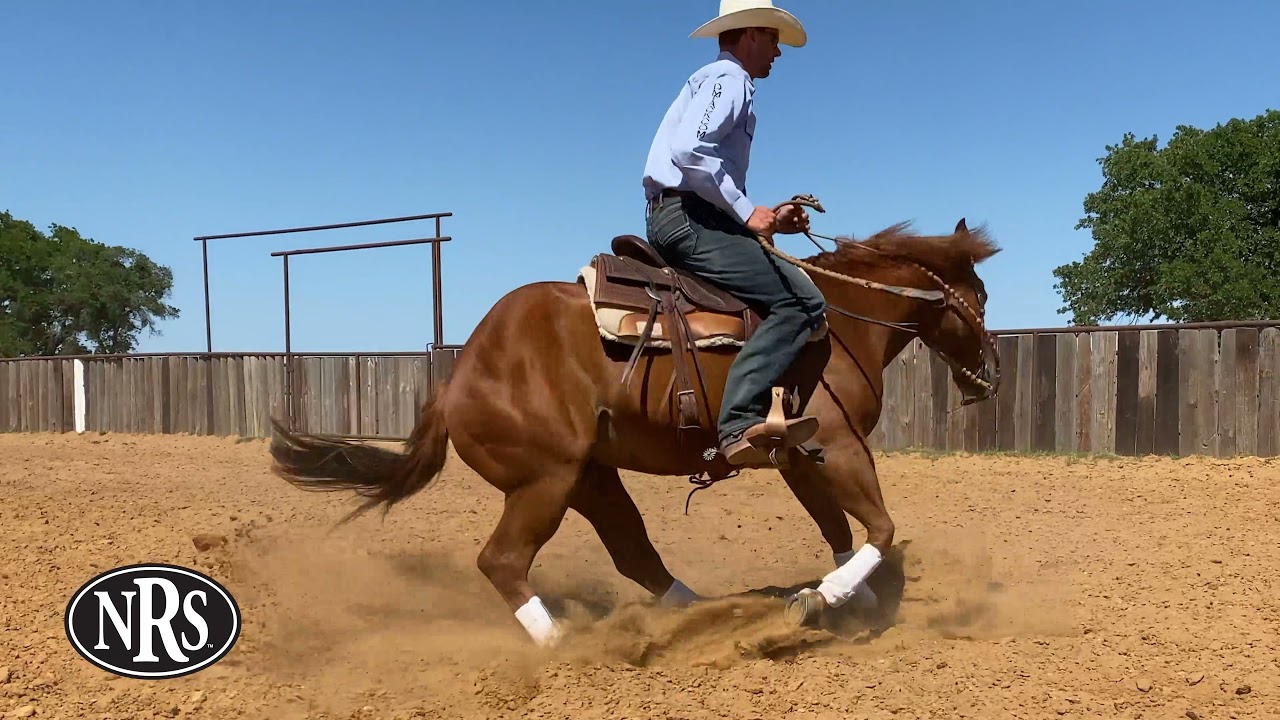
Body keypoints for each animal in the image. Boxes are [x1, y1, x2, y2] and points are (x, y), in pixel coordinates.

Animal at [267, 196, 1001, 646]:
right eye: (983, 297)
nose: (990, 374)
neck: (840, 320)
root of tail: (456, 381)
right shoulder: (840, 444)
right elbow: (877, 526)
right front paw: (822, 600)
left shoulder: (799, 453)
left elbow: (839, 528)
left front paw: (852, 599)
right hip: (546, 480)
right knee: (503, 560)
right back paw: (565, 645)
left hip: (591, 476)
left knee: (634, 553)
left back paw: (698, 614)